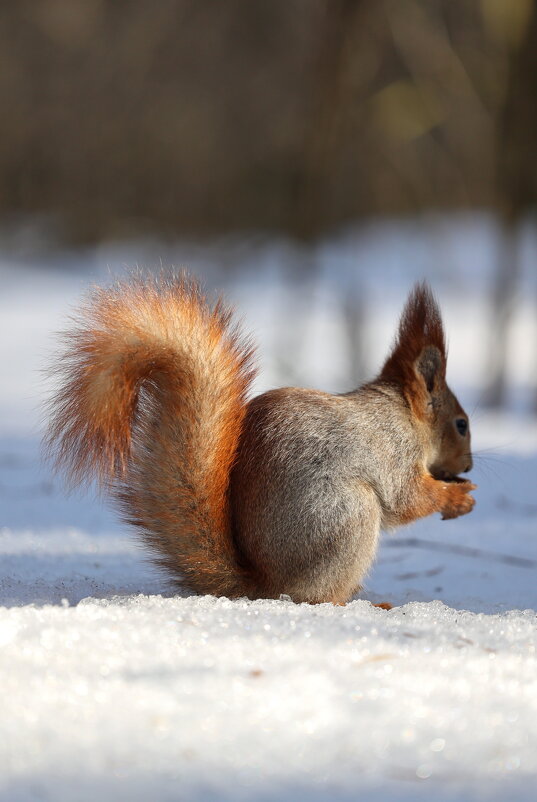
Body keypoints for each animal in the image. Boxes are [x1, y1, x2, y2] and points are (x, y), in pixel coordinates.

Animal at [46, 274, 474, 600]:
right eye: (461, 424)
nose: (468, 466)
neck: (403, 414)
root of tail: (264, 585)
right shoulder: (394, 451)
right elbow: (408, 498)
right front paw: (457, 497)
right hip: (346, 516)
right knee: (316, 595)